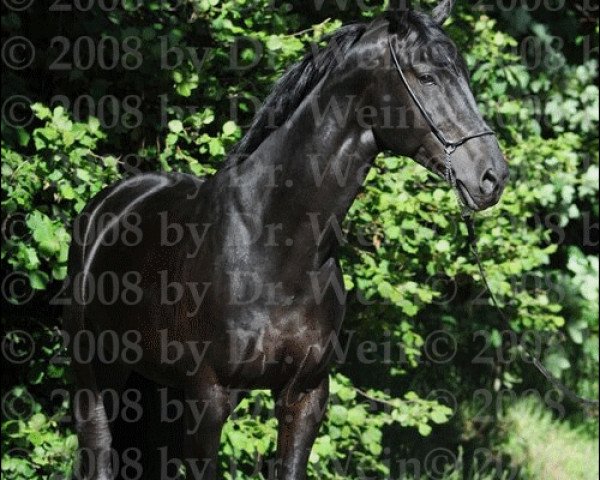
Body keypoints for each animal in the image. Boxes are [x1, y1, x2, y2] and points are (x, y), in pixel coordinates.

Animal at [64, 1, 506, 478]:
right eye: (426, 76)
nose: (492, 176)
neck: (274, 245)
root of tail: (108, 206)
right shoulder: (208, 399)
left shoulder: (305, 396)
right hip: (95, 377)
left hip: (154, 388)